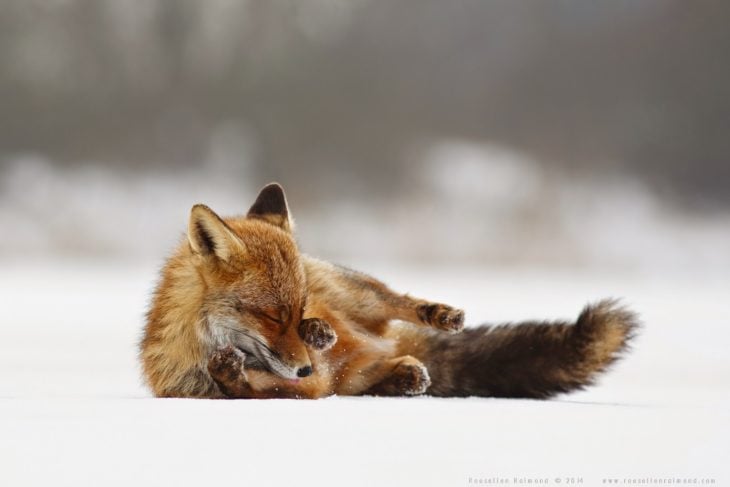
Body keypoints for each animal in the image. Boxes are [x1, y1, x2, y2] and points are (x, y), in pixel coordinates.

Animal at [139, 183, 636, 400]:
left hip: (355, 292)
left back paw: (436, 315)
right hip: (359, 376)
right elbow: (246, 389)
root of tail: (385, 344)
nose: (304, 366)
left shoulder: (307, 378)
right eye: (271, 317)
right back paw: (404, 372)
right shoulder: (300, 389)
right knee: (403, 368)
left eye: (295, 310)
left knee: (395, 301)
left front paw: (315, 332)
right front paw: (230, 372)